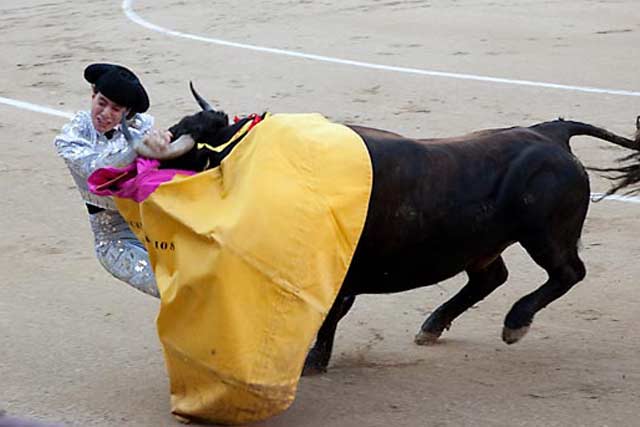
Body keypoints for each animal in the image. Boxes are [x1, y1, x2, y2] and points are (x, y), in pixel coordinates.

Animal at [131, 91, 640, 374]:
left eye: (190, 150)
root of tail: (550, 132)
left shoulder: (338, 275)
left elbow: (329, 313)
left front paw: (313, 362)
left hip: (546, 234)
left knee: (567, 272)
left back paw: (515, 324)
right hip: (483, 244)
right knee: (490, 278)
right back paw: (432, 326)